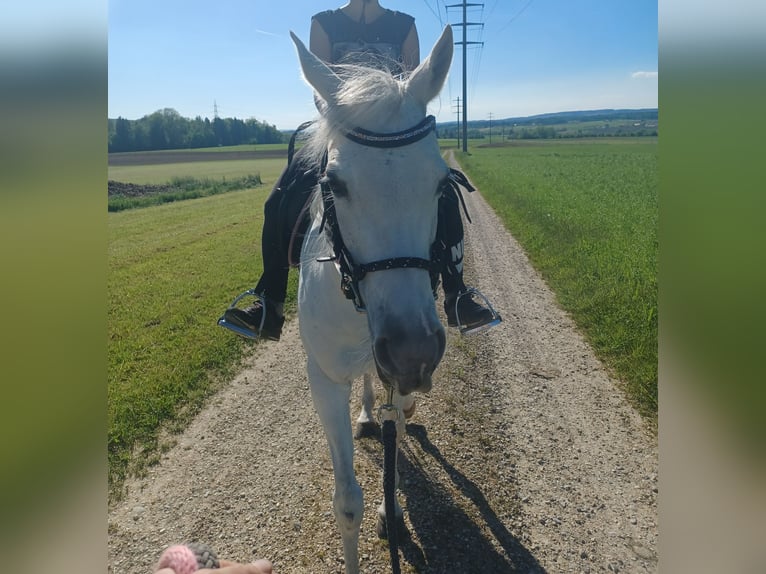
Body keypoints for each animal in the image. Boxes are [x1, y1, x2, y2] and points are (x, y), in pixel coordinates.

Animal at [292, 25, 452, 574]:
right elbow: (346, 503)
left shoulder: (401, 377)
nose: (412, 354)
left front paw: (393, 508)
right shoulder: (322, 381)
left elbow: (396, 435)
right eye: (334, 184)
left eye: (442, 182)